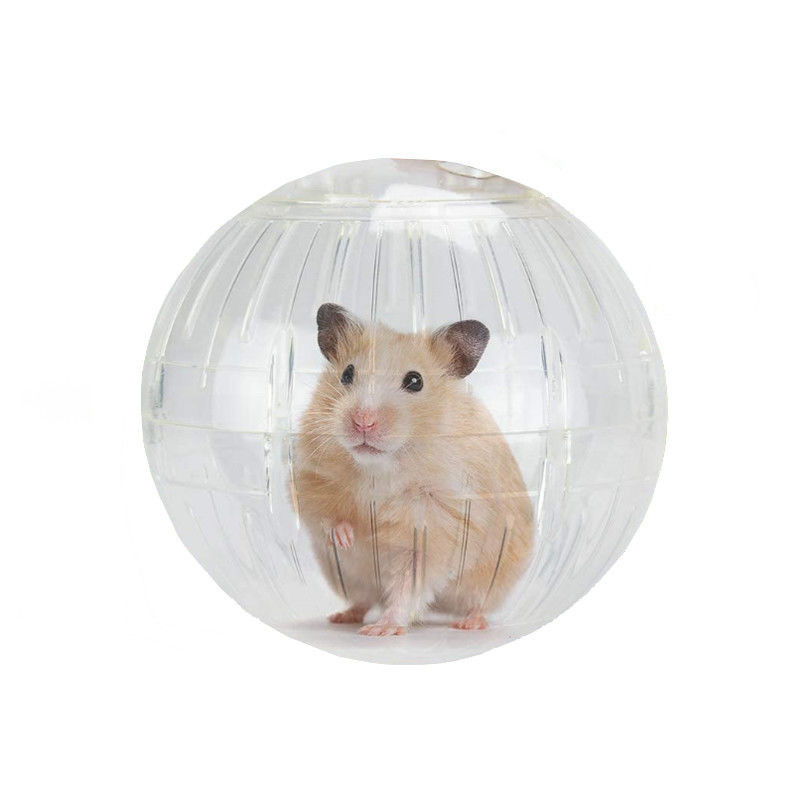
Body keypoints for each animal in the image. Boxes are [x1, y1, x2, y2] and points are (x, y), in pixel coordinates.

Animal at [293, 303, 533, 636]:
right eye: (347, 373)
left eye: (415, 381)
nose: (363, 422)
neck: (380, 468)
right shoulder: (311, 478)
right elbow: (325, 517)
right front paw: (346, 537)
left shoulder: (435, 529)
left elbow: (409, 585)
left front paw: (381, 630)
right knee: (362, 600)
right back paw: (342, 616)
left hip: (492, 579)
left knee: (477, 603)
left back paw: (468, 624)